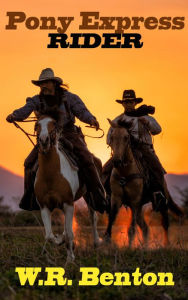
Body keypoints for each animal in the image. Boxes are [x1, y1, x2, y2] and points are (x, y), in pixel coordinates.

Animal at [33, 116, 101, 262]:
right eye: (37, 125)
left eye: (53, 124)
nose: (44, 140)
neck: (51, 175)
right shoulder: (44, 206)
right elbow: (49, 235)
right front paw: (60, 239)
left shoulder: (68, 204)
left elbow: (69, 234)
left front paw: (70, 259)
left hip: (89, 195)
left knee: (93, 217)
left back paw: (96, 243)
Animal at [103, 118, 183, 247]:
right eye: (112, 137)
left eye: (126, 137)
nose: (117, 161)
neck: (125, 172)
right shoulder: (116, 198)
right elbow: (111, 221)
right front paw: (106, 242)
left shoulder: (135, 201)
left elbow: (131, 229)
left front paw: (129, 247)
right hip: (139, 207)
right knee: (145, 228)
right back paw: (145, 247)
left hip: (161, 202)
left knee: (165, 223)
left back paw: (166, 244)